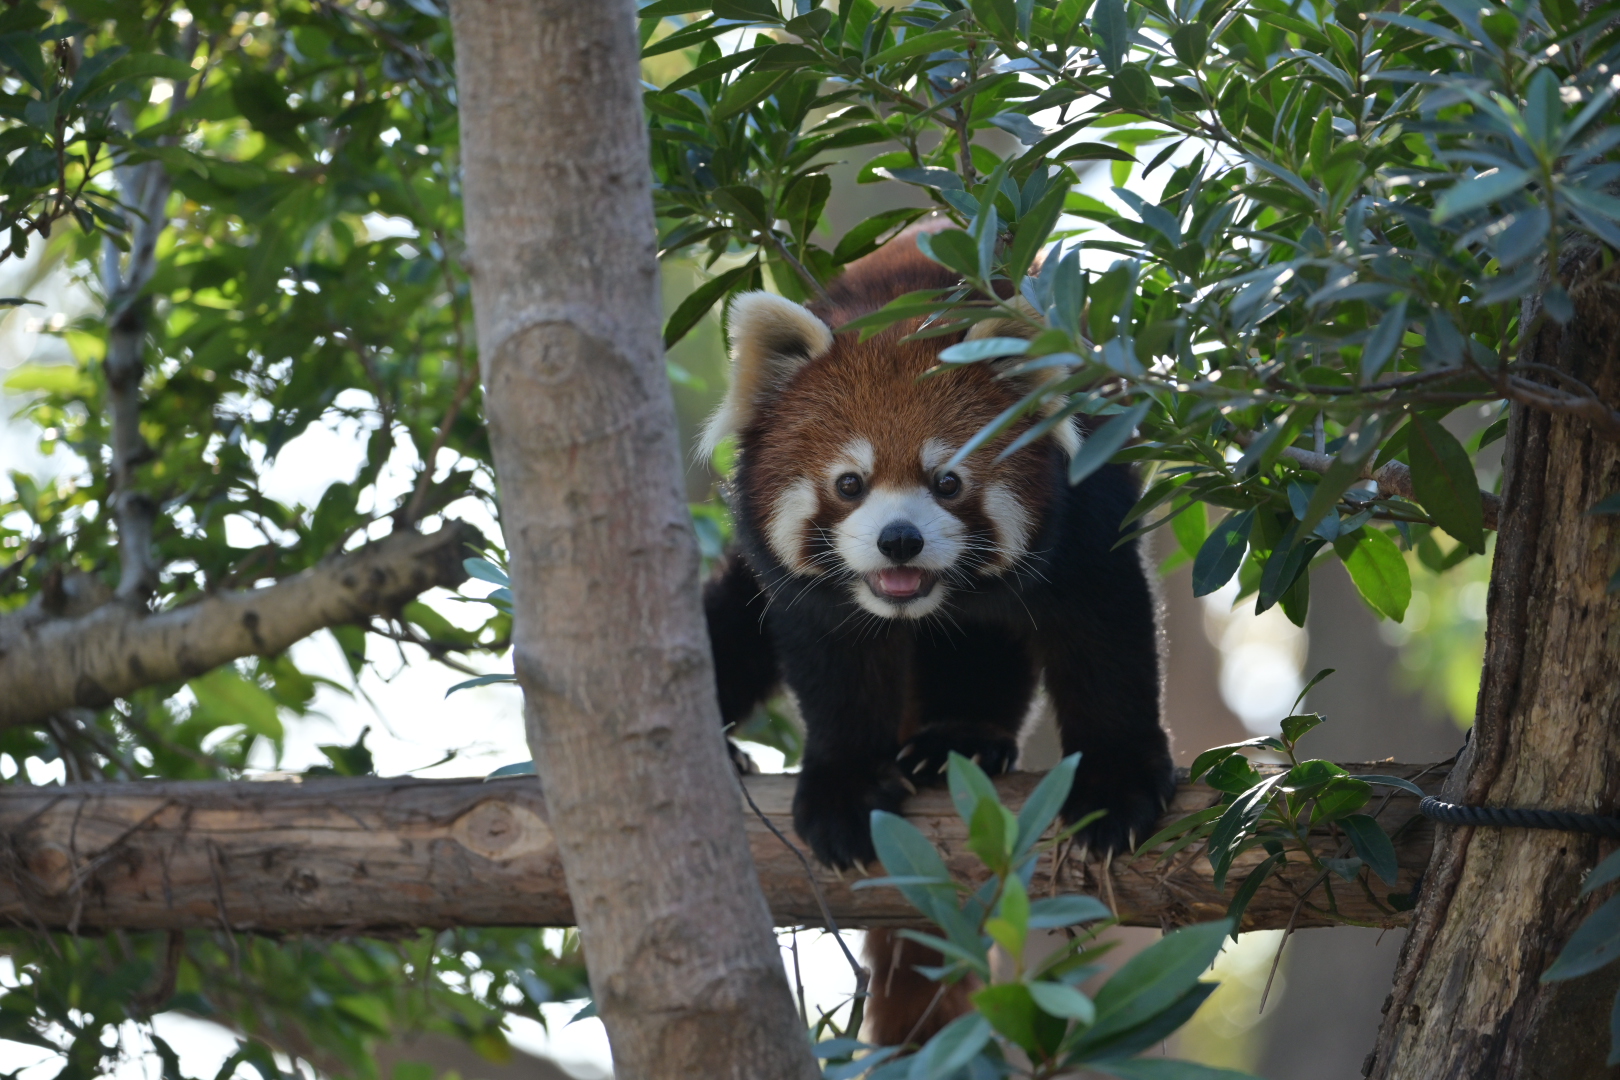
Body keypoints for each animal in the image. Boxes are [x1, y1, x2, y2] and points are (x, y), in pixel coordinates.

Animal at [699, 229, 1173, 1045]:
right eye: (849, 483)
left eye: (947, 481)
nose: (899, 540)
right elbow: (832, 659)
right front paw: (848, 786)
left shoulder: (1089, 503)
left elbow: (1106, 638)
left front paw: (1117, 783)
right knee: (728, 625)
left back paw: (962, 737)